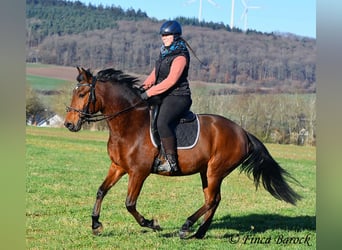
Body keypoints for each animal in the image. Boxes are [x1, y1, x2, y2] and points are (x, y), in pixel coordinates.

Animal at [65, 66, 302, 238]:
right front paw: (96, 224)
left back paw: (186, 226)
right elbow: (101, 191)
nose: (69, 124)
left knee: (211, 200)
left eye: (83, 94)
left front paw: (152, 224)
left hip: (215, 171)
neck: (128, 124)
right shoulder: (118, 167)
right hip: (206, 172)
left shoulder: (139, 172)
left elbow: (130, 204)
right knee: (214, 199)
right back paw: (199, 232)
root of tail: (243, 132)